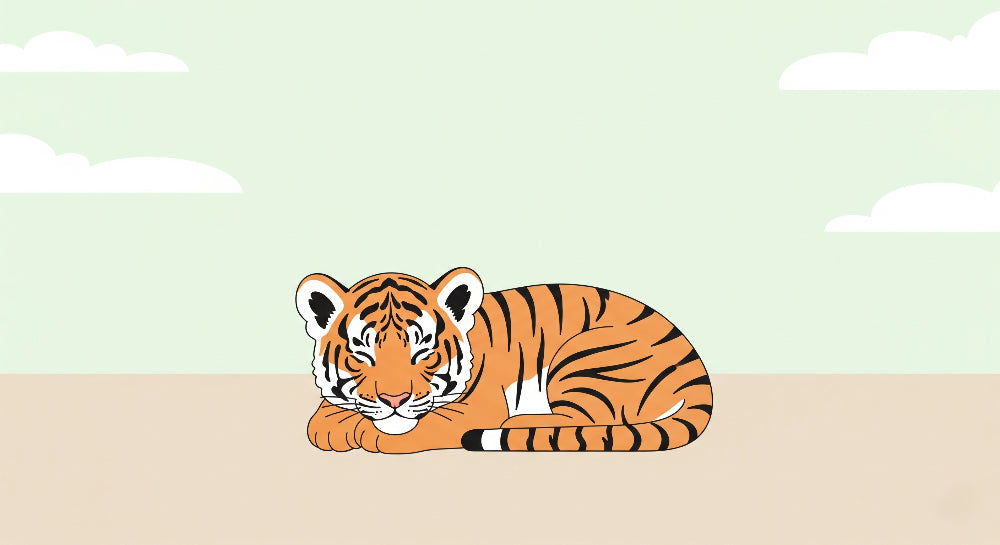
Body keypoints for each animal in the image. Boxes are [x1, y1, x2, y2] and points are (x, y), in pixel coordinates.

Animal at [295, 267, 713, 453]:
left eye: (423, 352)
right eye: (362, 354)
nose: (394, 401)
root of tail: (695, 364)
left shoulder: (475, 409)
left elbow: (419, 429)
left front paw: (367, 434)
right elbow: (322, 416)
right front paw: (333, 426)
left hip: (587, 353)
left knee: (584, 420)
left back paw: (522, 421)